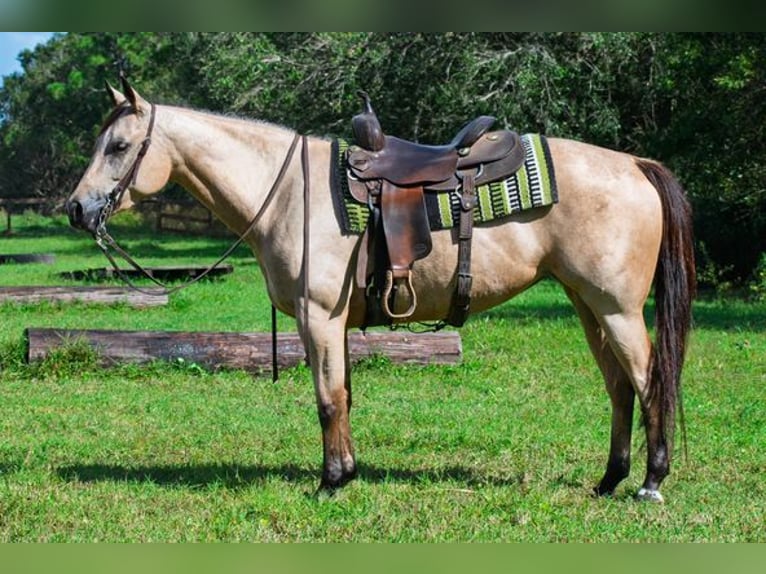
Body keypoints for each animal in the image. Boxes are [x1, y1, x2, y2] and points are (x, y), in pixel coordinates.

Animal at [69, 80, 700, 504]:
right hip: (588, 306)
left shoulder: (318, 318)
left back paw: (650, 483)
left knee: (649, 382)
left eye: (119, 146)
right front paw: (347, 472)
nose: (77, 208)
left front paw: (329, 484)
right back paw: (609, 480)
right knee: (619, 388)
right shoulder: (334, 324)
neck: (289, 193)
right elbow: (345, 395)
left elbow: (327, 400)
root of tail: (636, 164)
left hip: (617, 310)